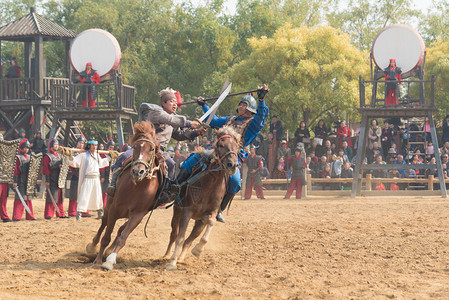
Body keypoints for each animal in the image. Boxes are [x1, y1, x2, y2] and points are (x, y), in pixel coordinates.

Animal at [86, 120, 163, 270]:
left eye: (152, 149)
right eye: (135, 147)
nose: (138, 171)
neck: (137, 187)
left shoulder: (138, 215)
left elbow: (122, 237)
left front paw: (110, 260)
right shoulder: (114, 209)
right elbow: (106, 237)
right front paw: (98, 260)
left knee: (120, 230)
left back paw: (109, 250)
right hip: (109, 207)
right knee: (103, 224)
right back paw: (92, 247)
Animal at [164, 125, 242, 270]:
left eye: (237, 148)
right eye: (221, 145)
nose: (232, 165)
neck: (210, 183)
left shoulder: (211, 213)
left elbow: (210, 223)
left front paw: (198, 250)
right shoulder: (186, 212)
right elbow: (180, 237)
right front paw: (172, 262)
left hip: (198, 223)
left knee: (189, 239)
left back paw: (181, 257)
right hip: (177, 211)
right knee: (174, 235)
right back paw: (167, 255)